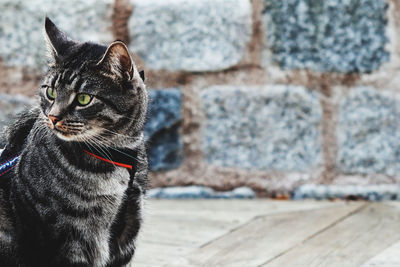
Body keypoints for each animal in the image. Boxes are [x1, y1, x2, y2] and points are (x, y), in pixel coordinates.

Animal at [0, 17, 148, 267]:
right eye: (50, 91)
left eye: (84, 98)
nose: (53, 117)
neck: (115, 154)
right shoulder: (68, 238)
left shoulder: (127, 229)